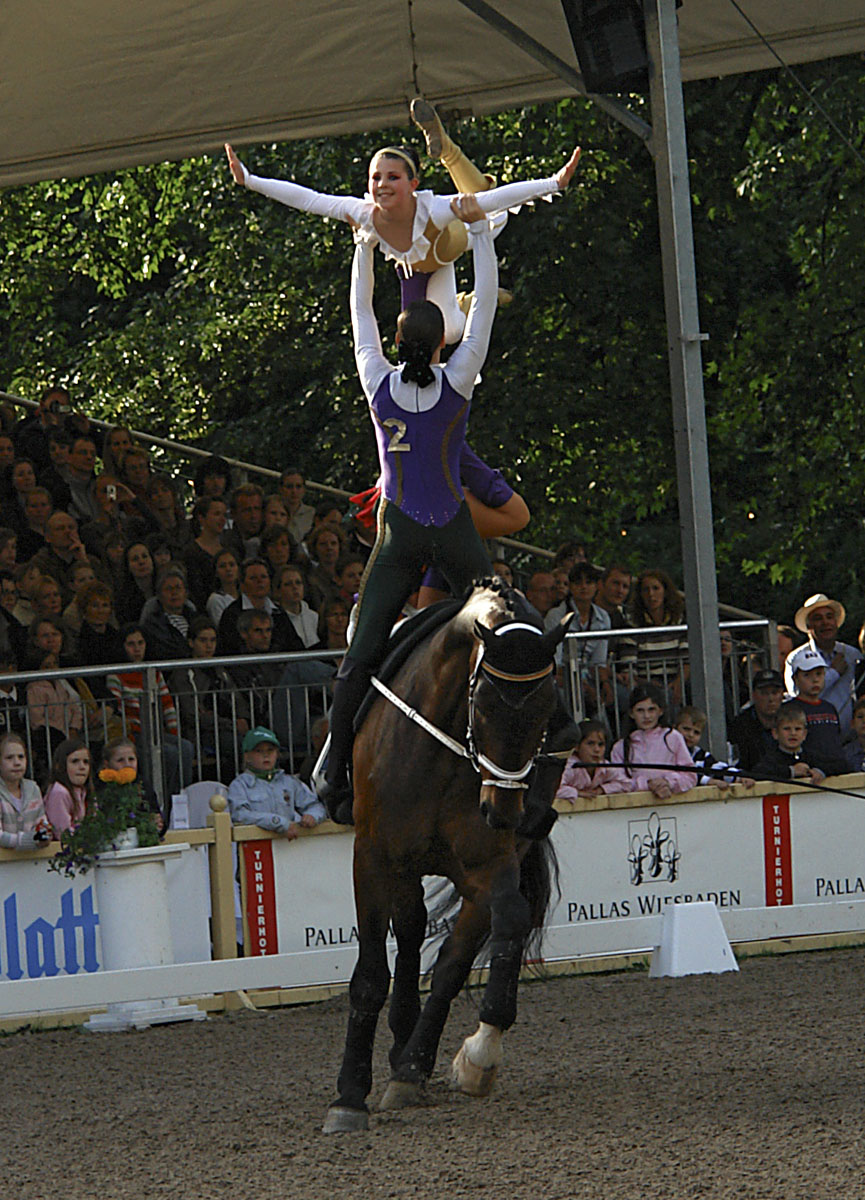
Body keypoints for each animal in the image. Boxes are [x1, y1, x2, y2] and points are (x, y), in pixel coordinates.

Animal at [321, 580, 566, 1132]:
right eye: (486, 704)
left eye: (550, 711)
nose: (506, 811)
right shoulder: (372, 858)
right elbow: (371, 975)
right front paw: (349, 1096)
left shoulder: (488, 865)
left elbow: (504, 924)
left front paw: (478, 1054)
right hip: (403, 868)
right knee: (410, 935)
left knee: (448, 960)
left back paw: (411, 1064)